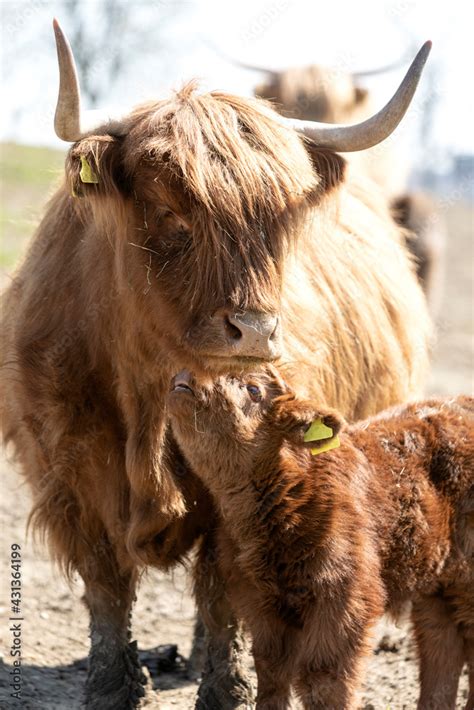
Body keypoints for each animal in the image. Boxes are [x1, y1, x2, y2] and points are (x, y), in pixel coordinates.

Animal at [0, 20, 432, 710]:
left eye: (280, 219)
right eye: (166, 209)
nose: (253, 328)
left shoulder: (252, 472)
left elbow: (223, 584)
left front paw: (225, 688)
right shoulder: (66, 464)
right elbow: (105, 581)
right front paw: (111, 685)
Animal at [168, 370, 474, 710]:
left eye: (254, 389)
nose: (184, 377)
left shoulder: (344, 598)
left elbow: (323, 680)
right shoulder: (259, 600)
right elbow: (272, 674)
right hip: (437, 586)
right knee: (442, 650)